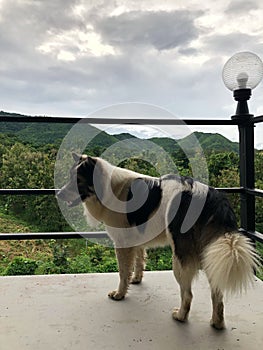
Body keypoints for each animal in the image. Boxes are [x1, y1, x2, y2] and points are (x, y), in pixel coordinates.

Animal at [56, 152, 260, 328]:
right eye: (69, 178)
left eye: (77, 181)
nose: (58, 194)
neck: (108, 188)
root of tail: (213, 196)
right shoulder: (136, 240)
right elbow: (138, 262)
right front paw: (136, 279)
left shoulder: (122, 243)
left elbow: (123, 272)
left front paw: (120, 293)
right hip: (211, 255)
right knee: (217, 293)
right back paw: (217, 323)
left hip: (180, 258)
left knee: (188, 294)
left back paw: (180, 316)